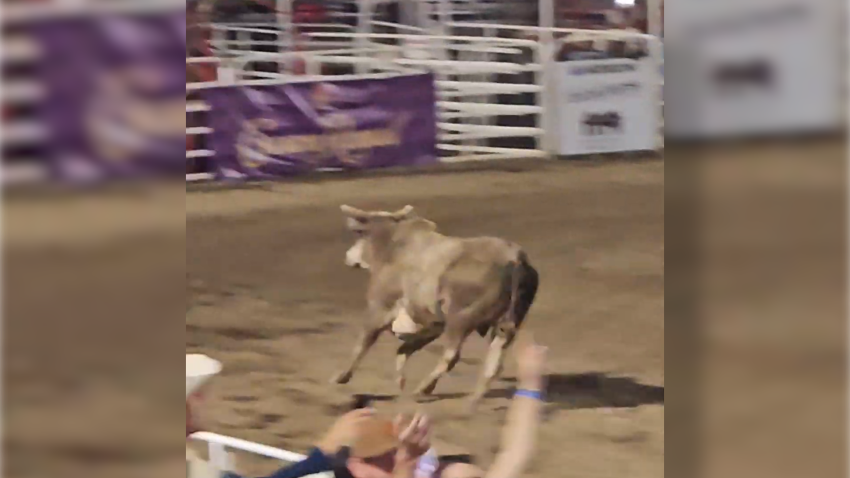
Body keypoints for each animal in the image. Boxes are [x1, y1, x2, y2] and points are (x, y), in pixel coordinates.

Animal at [330, 204, 536, 406]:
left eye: (359, 234)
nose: (348, 257)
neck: (392, 247)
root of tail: (514, 258)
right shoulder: (433, 324)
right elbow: (404, 349)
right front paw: (400, 383)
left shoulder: (379, 309)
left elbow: (362, 345)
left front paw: (340, 377)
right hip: (504, 325)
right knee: (494, 361)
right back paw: (471, 399)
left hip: (460, 320)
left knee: (452, 355)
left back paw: (423, 389)